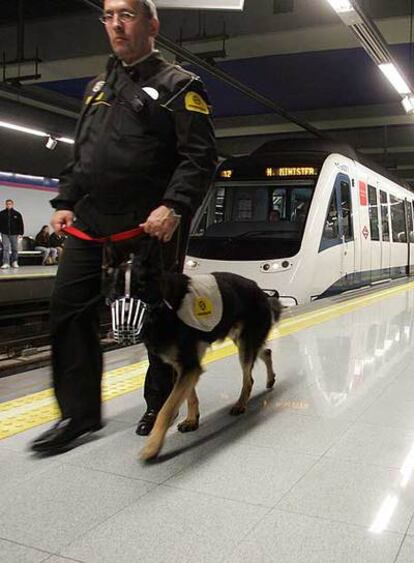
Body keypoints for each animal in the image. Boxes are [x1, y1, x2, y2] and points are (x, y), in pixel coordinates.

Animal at [104, 238, 282, 458]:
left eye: (141, 289)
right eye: (116, 291)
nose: (124, 327)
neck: (164, 309)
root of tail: (261, 291)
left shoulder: (189, 367)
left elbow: (167, 408)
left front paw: (153, 446)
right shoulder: (184, 367)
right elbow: (190, 396)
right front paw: (191, 419)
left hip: (244, 346)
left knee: (248, 378)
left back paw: (241, 403)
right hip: (241, 340)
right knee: (265, 351)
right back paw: (270, 379)